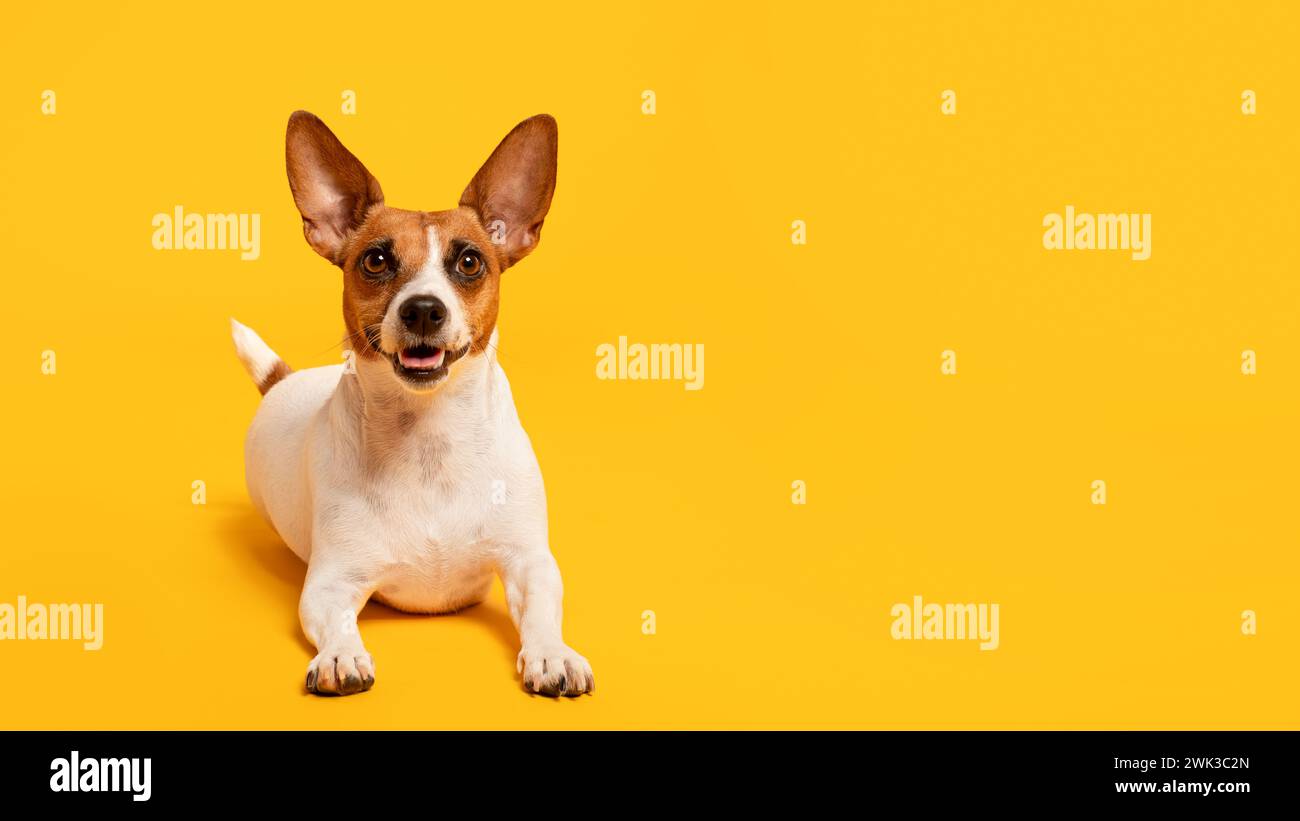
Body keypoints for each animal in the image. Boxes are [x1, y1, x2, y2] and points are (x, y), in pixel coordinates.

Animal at [233, 112, 595, 696]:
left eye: (469, 261)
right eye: (376, 260)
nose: (423, 309)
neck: (430, 439)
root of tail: (282, 381)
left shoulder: (530, 562)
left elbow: (542, 608)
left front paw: (551, 652)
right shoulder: (330, 583)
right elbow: (334, 619)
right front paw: (341, 654)